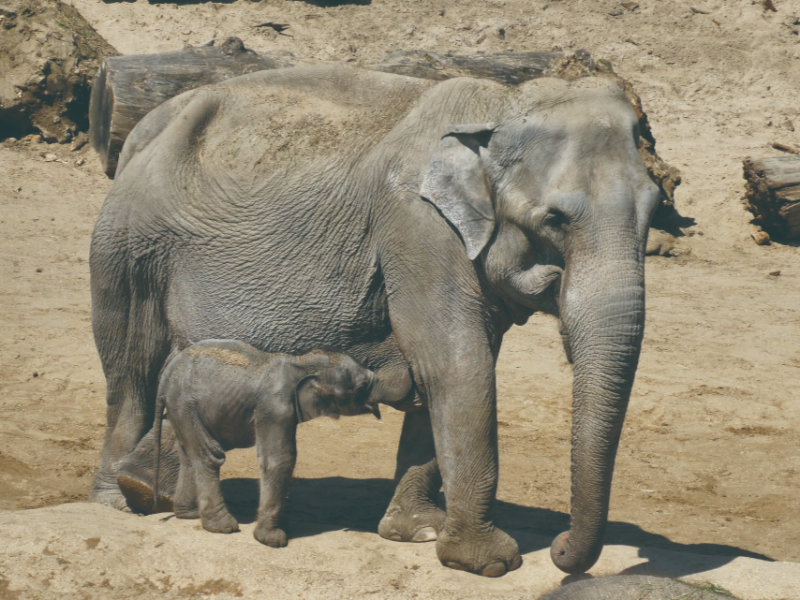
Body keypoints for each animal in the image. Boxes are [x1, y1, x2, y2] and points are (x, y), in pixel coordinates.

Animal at [158, 340, 382, 548]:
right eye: (362, 387)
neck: (301, 362)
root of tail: (166, 373)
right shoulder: (275, 407)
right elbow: (279, 459)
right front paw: (273, 540)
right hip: (186, 404)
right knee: (209, 455)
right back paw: (223, 527)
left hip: (181, 408)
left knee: (188, 454)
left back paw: (189, 514)